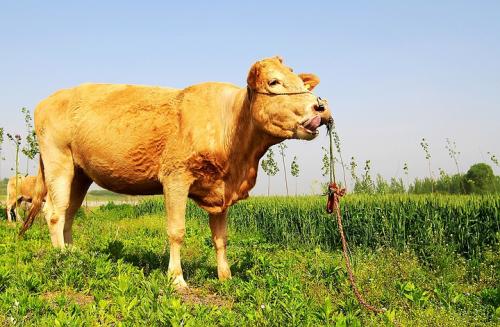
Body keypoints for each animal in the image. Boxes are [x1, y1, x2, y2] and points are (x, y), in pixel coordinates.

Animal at [20, 57, 332, 290]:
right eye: (274, 82)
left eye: (301, 82)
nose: (320, 107)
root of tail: (47, 100)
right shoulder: (176, 177)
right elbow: (177, 231)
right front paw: (177, 279)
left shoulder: (220, 188)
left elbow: (221, 238)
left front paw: (225, 276)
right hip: (58, 159)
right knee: (55, 212)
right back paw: (61, 258)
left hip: (81, 172)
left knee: (70, 211)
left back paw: (74, 254)